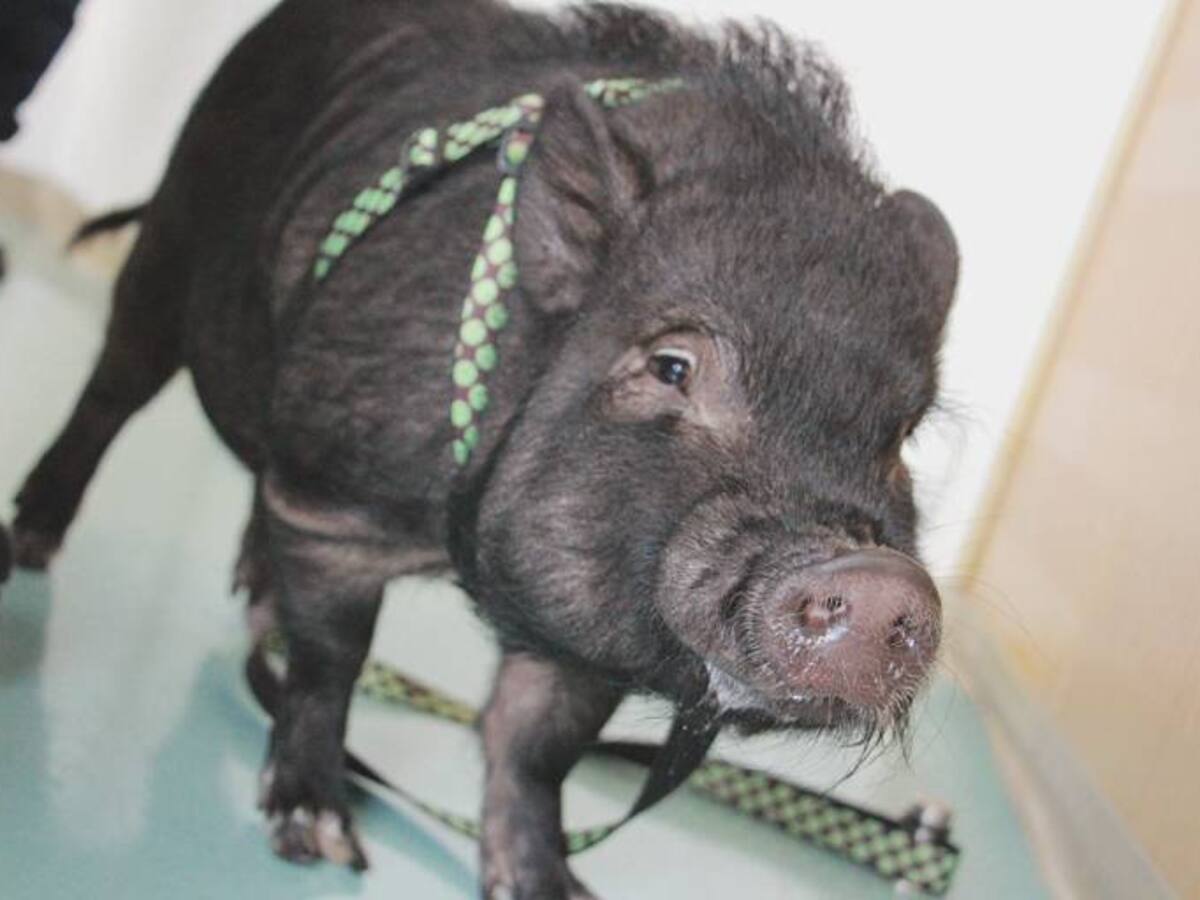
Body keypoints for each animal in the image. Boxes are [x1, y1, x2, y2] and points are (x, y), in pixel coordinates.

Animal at [8, 1, 958, 897]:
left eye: (901, 435)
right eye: (672, 365)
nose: (880, 582)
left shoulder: (580, 626)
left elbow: (535, 746)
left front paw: (550, 886)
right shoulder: (336, 500)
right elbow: (331, 661)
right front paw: (319, 839)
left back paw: (255, 593)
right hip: (169, 248)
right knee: (111, 392)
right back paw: (34, 544)